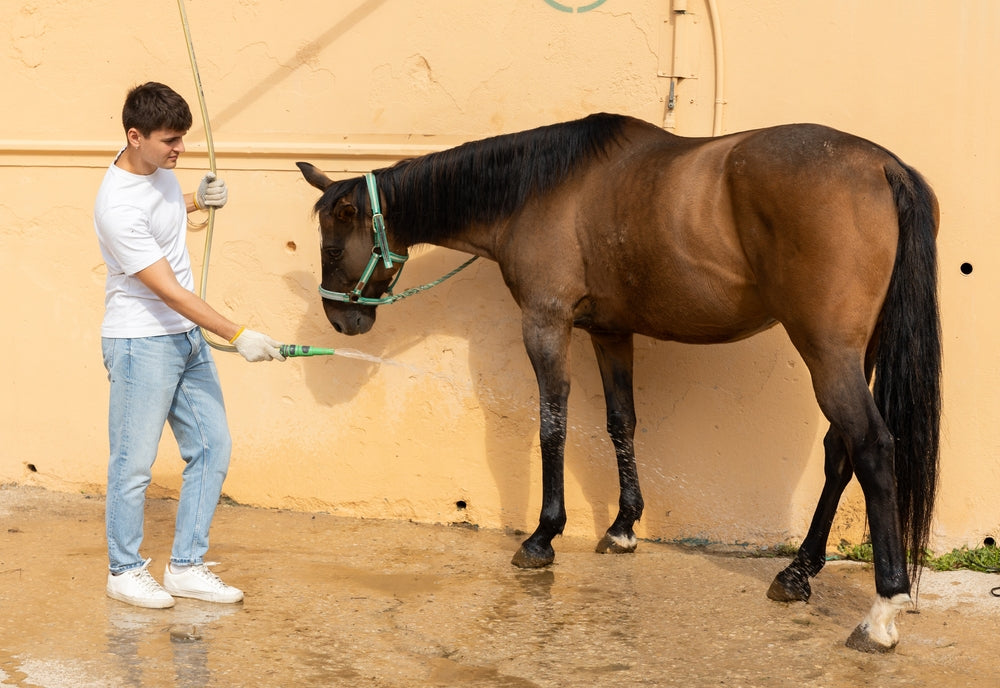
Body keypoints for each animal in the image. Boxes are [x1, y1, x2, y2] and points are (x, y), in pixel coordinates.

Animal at [296, 112, 941, 653]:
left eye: (331, 245)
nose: (342, 321)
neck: (536, 189)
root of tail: (882, 165)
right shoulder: (610, 333)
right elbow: (620, 422)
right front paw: (624, 526)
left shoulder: (546, 323)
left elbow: (551, 424)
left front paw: (542, 537)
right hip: (857, 353)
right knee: (840, 452)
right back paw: (797, 572)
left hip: (827, 352)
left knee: (872, 448)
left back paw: (881, 611)